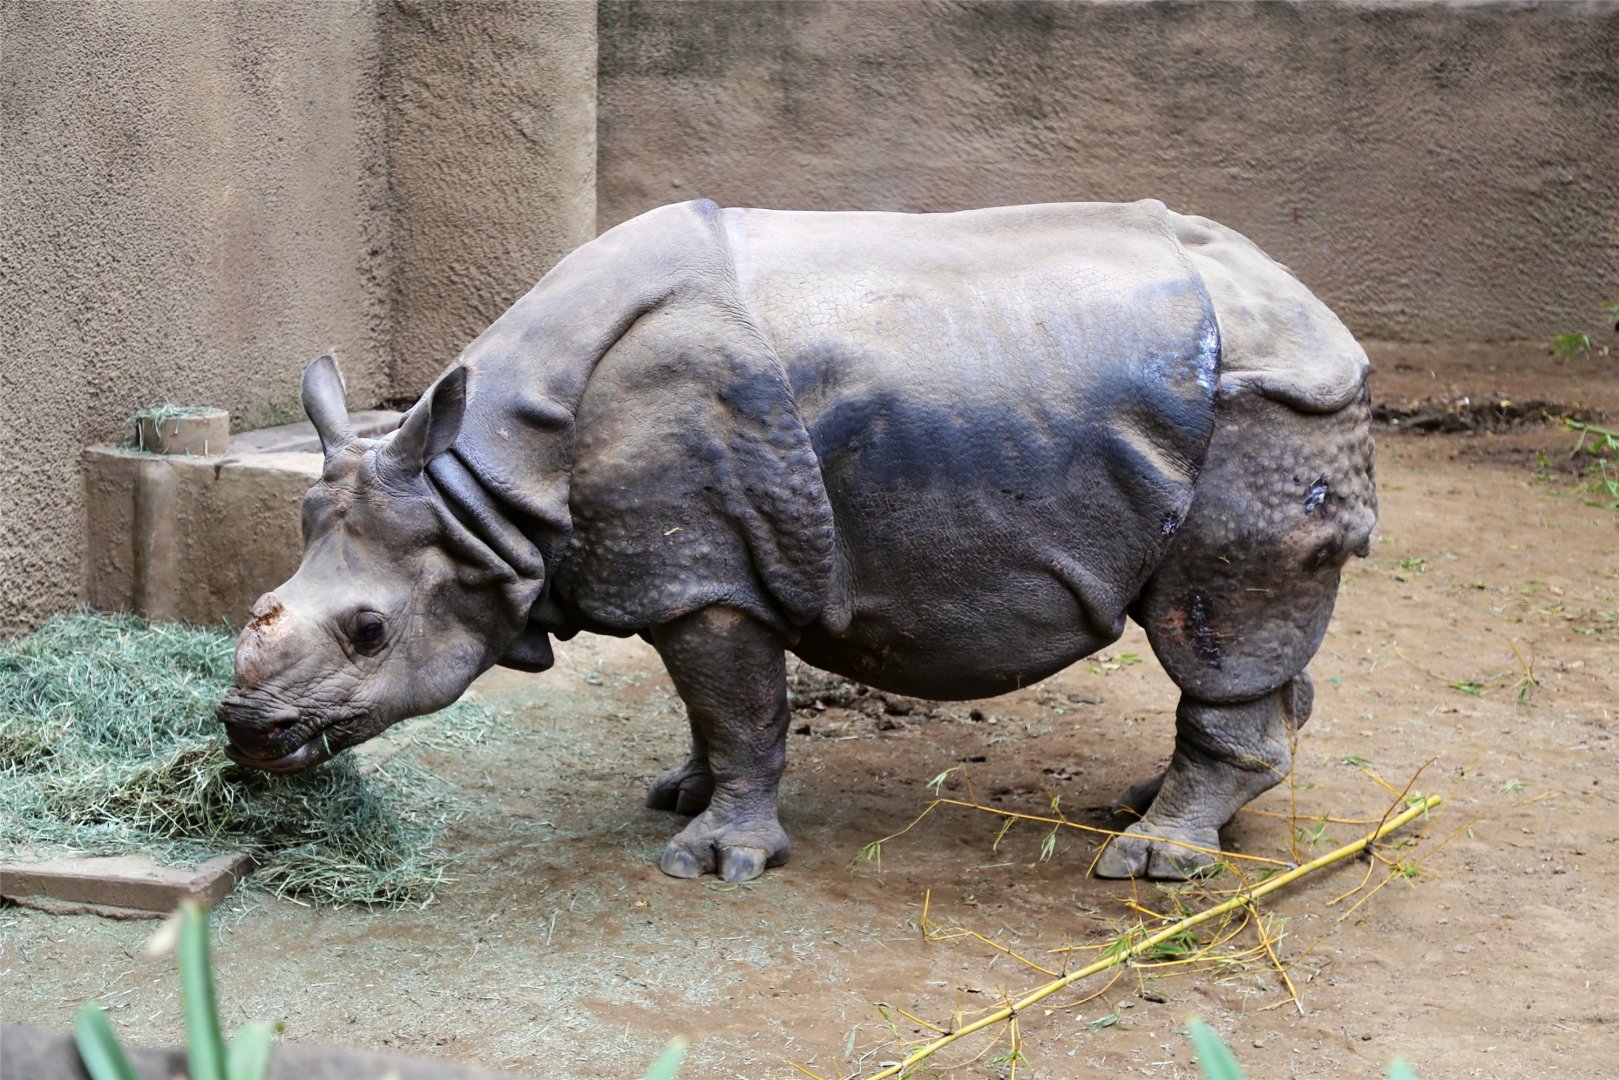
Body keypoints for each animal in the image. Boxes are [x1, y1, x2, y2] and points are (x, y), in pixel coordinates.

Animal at [218, 199, 1375, 883]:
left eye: (369, 632)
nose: (246, 734)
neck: (482, 493)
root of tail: (1320, 315)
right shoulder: (697, 567)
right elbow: (711, 707)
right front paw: (676, 796)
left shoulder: (699, 573)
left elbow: (738, 708)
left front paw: (711, 863)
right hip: (1249, 402)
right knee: (1252, 635)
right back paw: (1169, 813)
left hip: (1267, 410)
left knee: (1213, 626)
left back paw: (1153, 861)